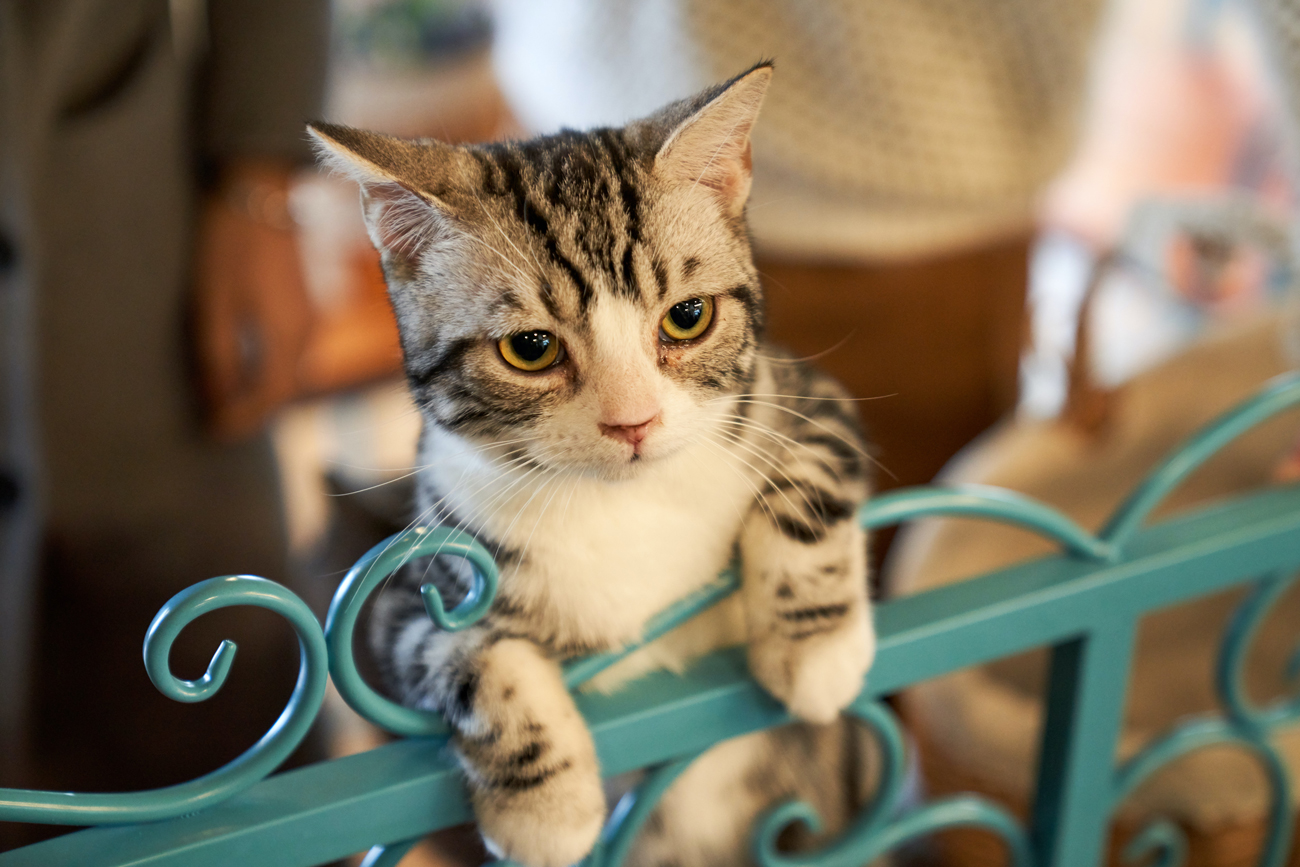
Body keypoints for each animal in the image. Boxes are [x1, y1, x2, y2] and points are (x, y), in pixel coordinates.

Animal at [313, 62, 878, 867]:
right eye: (530, 348)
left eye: (688, 316)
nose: (632, 420)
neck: (624, 505)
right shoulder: (410, 593)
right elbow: (462, 653)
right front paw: (546, 812)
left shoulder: (806, 396)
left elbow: (809, 487)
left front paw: (814, 651)